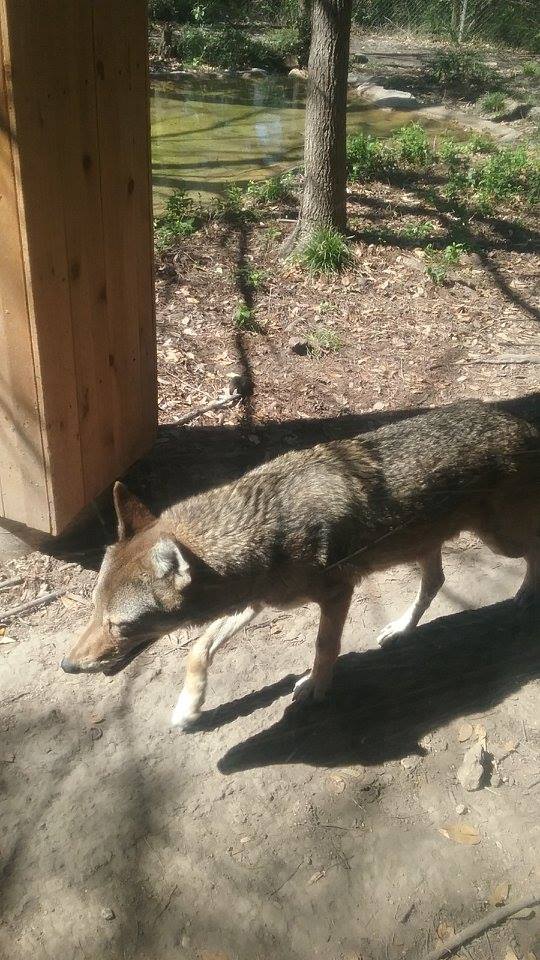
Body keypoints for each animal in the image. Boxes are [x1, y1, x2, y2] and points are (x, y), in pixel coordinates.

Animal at [61, 400, 540, 728]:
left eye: (121, 625)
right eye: (94, 611)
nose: (67, 666)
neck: (270, 524)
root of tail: (520, 423)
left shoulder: (338, 593)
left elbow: (325, 645)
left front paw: (316, 687)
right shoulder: (255, 601)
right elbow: (198, 649)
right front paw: (188, 708)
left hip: (499, 541)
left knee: (532, 550)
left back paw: (524, 597)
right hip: (423, 546)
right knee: (436, 582)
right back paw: (401, 629)